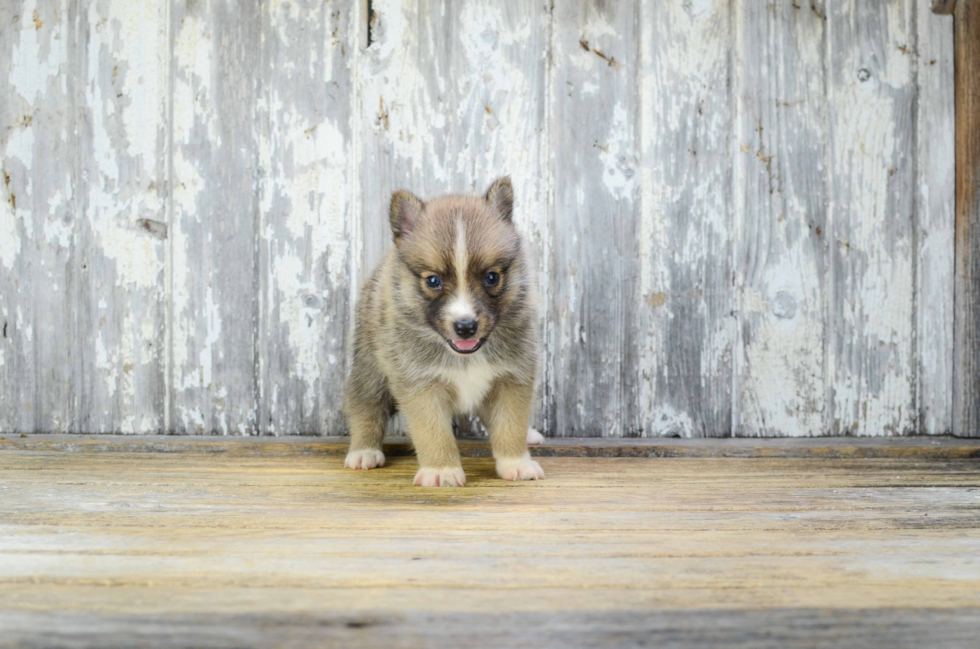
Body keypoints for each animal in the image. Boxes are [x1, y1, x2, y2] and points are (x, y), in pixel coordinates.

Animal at [342, 177, 544, 486]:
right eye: (433, 281)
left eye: (491, 277)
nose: (465, 326)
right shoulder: (421, 385)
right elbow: (433, 432)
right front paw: (442, 470)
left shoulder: (511, 378)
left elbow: (510, 425)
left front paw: (516, 463)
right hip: (370, 369)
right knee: (365, 406)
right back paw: (363, 451)